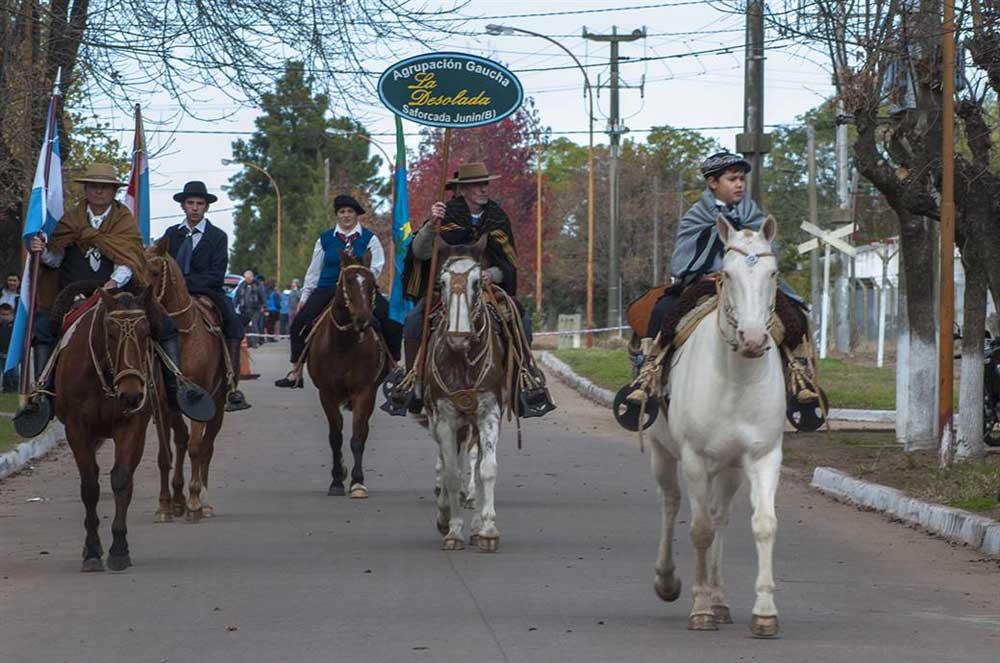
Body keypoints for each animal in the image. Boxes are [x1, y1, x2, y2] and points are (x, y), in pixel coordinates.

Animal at [50, 286, 159, 572]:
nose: (131, 395)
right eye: (110, 333)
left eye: (146, 331)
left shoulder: (131, 425)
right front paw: (91, 551)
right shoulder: (76, 429)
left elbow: (121, 479)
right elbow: (90, 486)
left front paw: (119, 549)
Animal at [146, 241, 229, 520]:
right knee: (180, 441)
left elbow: (196, 447)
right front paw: (164, 504)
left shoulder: (201, 400)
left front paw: (194, 501)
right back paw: (177, 499)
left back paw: (203, 500)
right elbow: (165, 454)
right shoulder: (161, 404)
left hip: (218, 406)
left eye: (154, 272)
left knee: (206, 446)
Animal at [304, 250, 386, 498]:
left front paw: (357, 483)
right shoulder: (327, 394)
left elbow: (357, 437)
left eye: (372, 284)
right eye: (348, 281)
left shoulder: (364, 392)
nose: (364, 320)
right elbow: (335, 437)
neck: (342, 344)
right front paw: (337, 480)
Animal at [426, 236, 512, 552]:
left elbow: (487, 468)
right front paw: (452, 529)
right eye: (441, 282)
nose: (458, 337)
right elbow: (452, 473)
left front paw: (487, 529)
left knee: (474, 464)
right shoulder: (446, 417)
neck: (462, 360)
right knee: (449, 461)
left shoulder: (489, 412)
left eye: (477, 281)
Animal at [648, 217, 788, 640]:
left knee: (720, 514)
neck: (736, 379)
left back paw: (721, 599)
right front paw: (700, 609)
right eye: (726, 274)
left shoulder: (764, 456)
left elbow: (763, 525)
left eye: (773, 273)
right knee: (671, 502)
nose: (753, 339)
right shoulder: (694, 459)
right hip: (662, 453)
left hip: (728, 468)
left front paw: (764, 612)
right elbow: (699, 530)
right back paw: (668, 582)